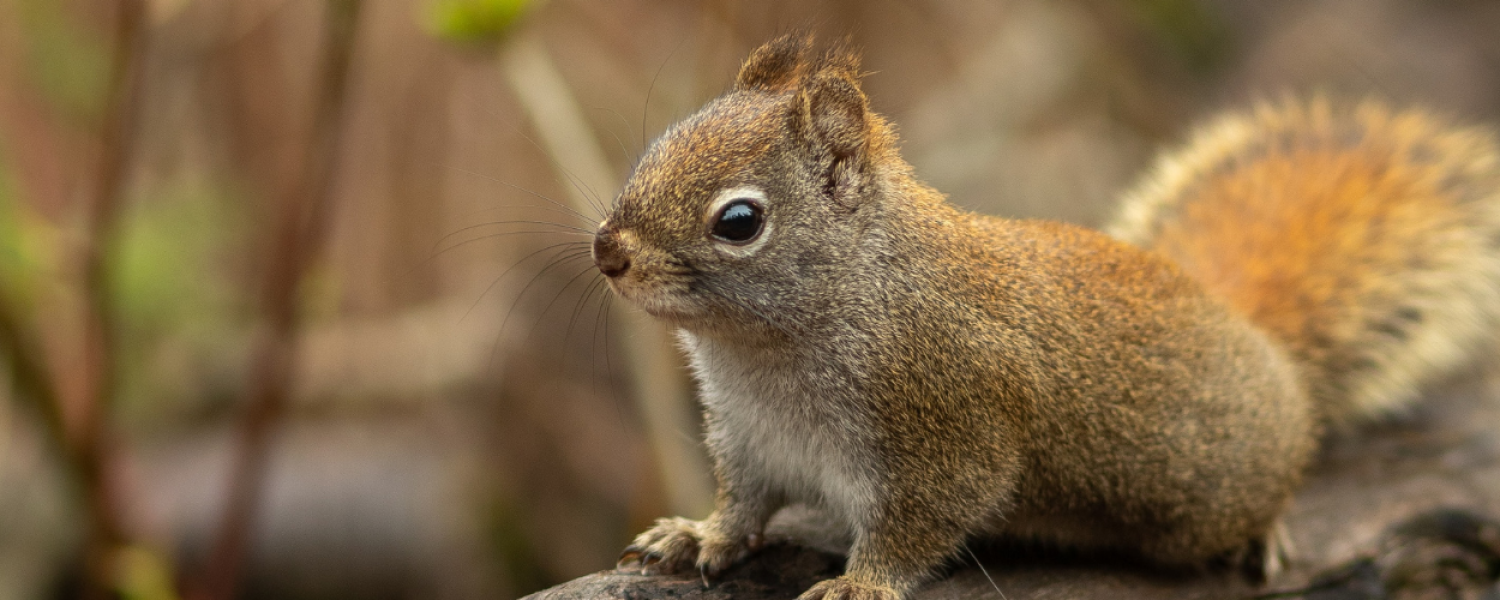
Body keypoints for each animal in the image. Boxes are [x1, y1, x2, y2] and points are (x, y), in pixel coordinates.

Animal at [591, 33, 1500, 600]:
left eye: (739, 221)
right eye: (661, 143)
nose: (607, 251)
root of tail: (1252, 333)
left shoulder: (950, 431)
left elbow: (920, 527)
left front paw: (861, 583)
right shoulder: (750, 440)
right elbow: (744, 505)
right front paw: (699, 535)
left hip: (1205, 497)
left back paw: (1263, 533)